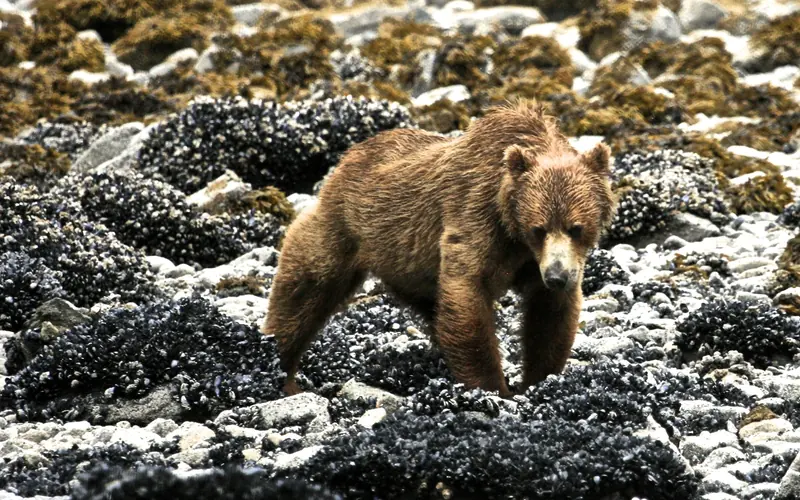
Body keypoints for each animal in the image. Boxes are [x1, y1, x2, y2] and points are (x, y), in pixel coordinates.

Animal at [261, 99, 617, 398]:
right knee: (308, 283)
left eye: (576, 227)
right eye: (538, 229)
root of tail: (347, 157)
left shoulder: (538, 261)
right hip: (346, 224)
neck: (512, 226)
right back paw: (279, 369)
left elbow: (549, 315)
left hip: (406, 266)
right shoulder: (477, 217)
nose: (557, 276)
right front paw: (493, 389)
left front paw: (540, 380)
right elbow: (467, 292)